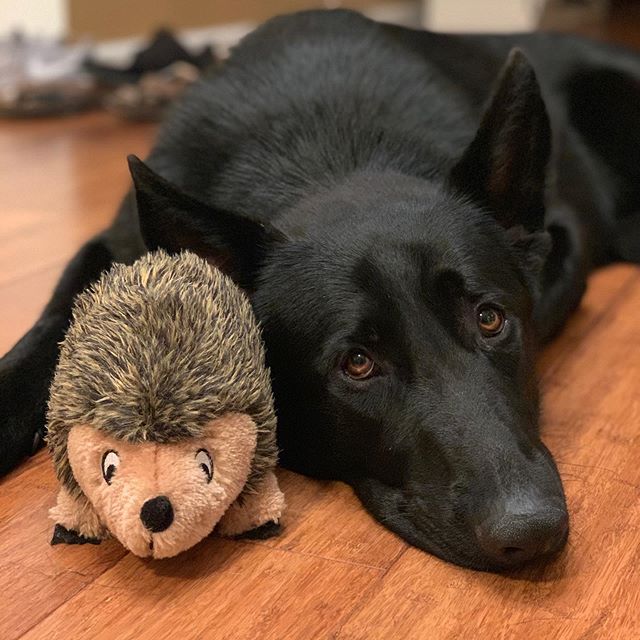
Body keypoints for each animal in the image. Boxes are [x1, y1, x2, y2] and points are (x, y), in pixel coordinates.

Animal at [1, 10, 640, 568]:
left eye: (489, 318)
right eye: (356, 363)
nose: (533, 532)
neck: (333, 158)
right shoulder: (106, 250)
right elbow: (55, 326)